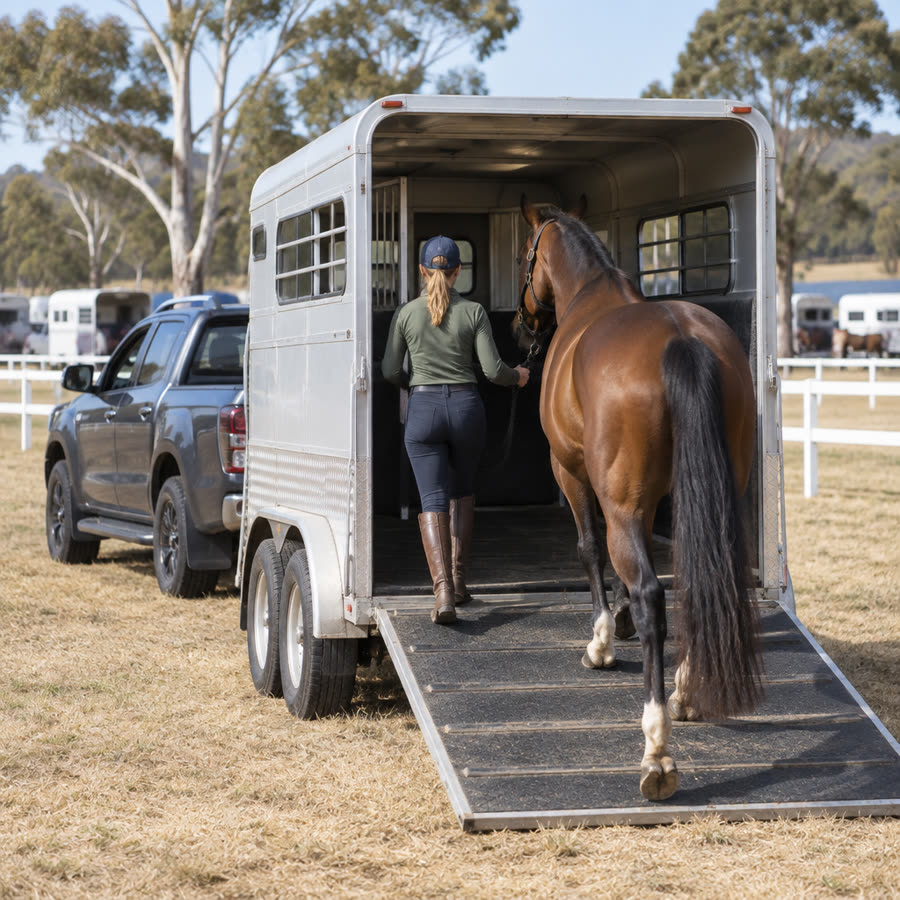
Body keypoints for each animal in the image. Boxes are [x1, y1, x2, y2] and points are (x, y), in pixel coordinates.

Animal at [513, 196, 762, 802]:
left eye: (525, 254)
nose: (518, 325)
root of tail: (682, 339)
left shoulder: (572, 472)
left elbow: (589, 549)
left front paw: (603, 638)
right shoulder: (647, 503)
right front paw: (620, 619)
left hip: (616, 497)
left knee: (653, 593)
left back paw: (657, 750)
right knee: (695, 578)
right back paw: (688, 693)